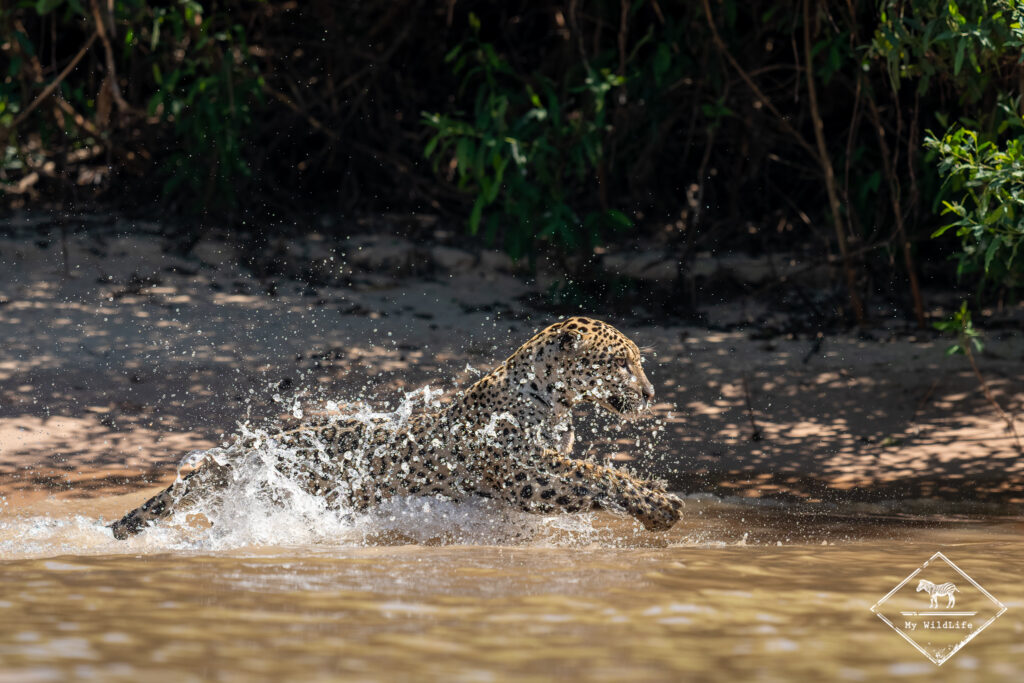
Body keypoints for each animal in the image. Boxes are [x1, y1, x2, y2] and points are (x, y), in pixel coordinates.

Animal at [110, 316, 684, 539]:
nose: (651, 395)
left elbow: (593, 474)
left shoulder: (540, 469)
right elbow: (598, 477)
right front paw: (659, 506)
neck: (550, 398)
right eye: (621, 363)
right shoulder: (525, 476)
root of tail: (248, 452)